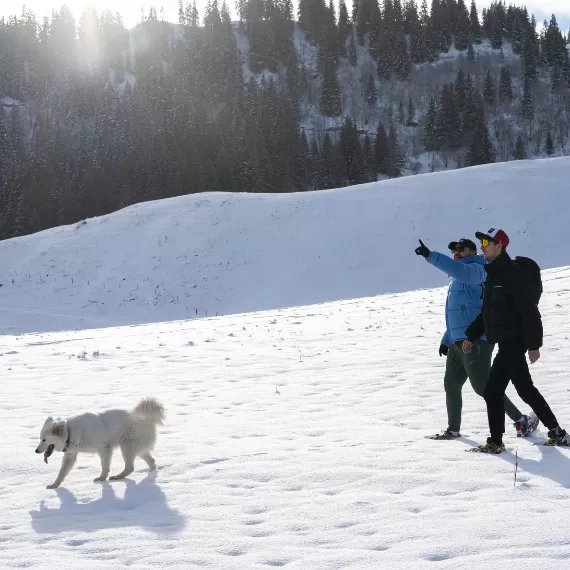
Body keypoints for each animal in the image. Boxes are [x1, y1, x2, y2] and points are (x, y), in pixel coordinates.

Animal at [35, 394, 164, 488]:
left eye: (44, 440)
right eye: (40, 439)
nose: (36, 451)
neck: (69, 432)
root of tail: (147, 419)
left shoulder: (104, 449)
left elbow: (104, 466)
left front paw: (102, 478)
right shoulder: (70, 455)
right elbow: (61, 472)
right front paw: (54, 485)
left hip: (127, 446)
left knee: (130, 467)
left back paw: (117, 477)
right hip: (138, 449)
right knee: (151, 461)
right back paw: (151, 474)